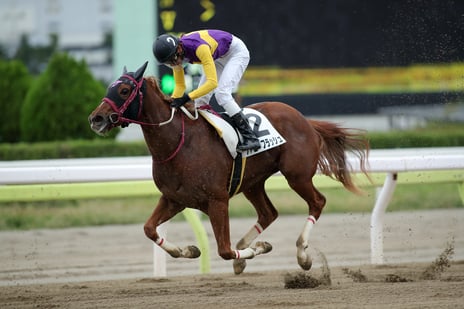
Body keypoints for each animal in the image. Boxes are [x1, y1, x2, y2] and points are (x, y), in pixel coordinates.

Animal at [88, 61, 370, 274]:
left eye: (125, 90)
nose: (96, 118)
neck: (179, 144)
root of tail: (305, 120)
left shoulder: (217, 200)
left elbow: (223, 250)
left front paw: (254, 250)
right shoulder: (174, 199)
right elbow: (148, 229)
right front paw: (190, 250)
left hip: (297, 175)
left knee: (317, 203)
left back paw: (302, 255)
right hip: (253, 182)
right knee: (268, 213)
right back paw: (246, 252)